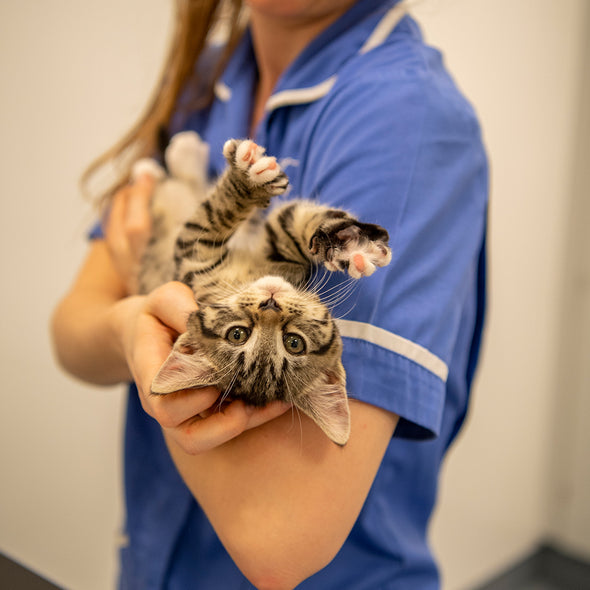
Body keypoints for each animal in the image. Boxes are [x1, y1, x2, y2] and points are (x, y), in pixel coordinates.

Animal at [134, 132, 394, 446]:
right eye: (237, 335)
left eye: (294, 343)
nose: (270, 304)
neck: (250, 275)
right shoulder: (194, 258)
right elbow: (220, 214)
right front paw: (248, 180)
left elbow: (288, 224)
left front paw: (350, 246)